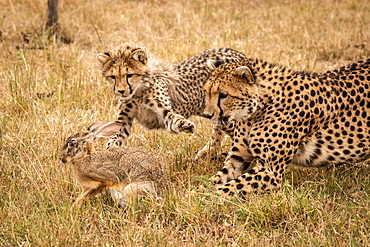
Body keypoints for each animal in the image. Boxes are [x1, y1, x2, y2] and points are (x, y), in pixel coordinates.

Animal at [96, 43, 246, 158]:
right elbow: (115, 135)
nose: (121, 91)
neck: (138, 92)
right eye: (113, 77)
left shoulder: (164, 112)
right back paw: (209, 153)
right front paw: (110, 150)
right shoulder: (124, 120)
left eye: (129, 75)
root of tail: (236, 53)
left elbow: (173, 118)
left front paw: (186, 125)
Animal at [202, 57, 370, 195]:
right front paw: (200, 191)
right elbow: (216, 180)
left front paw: (206, 198)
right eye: (206, 92)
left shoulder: (271, 172)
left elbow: (226, 188)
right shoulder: (237, 159)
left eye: (224, 95)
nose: (207, 115)